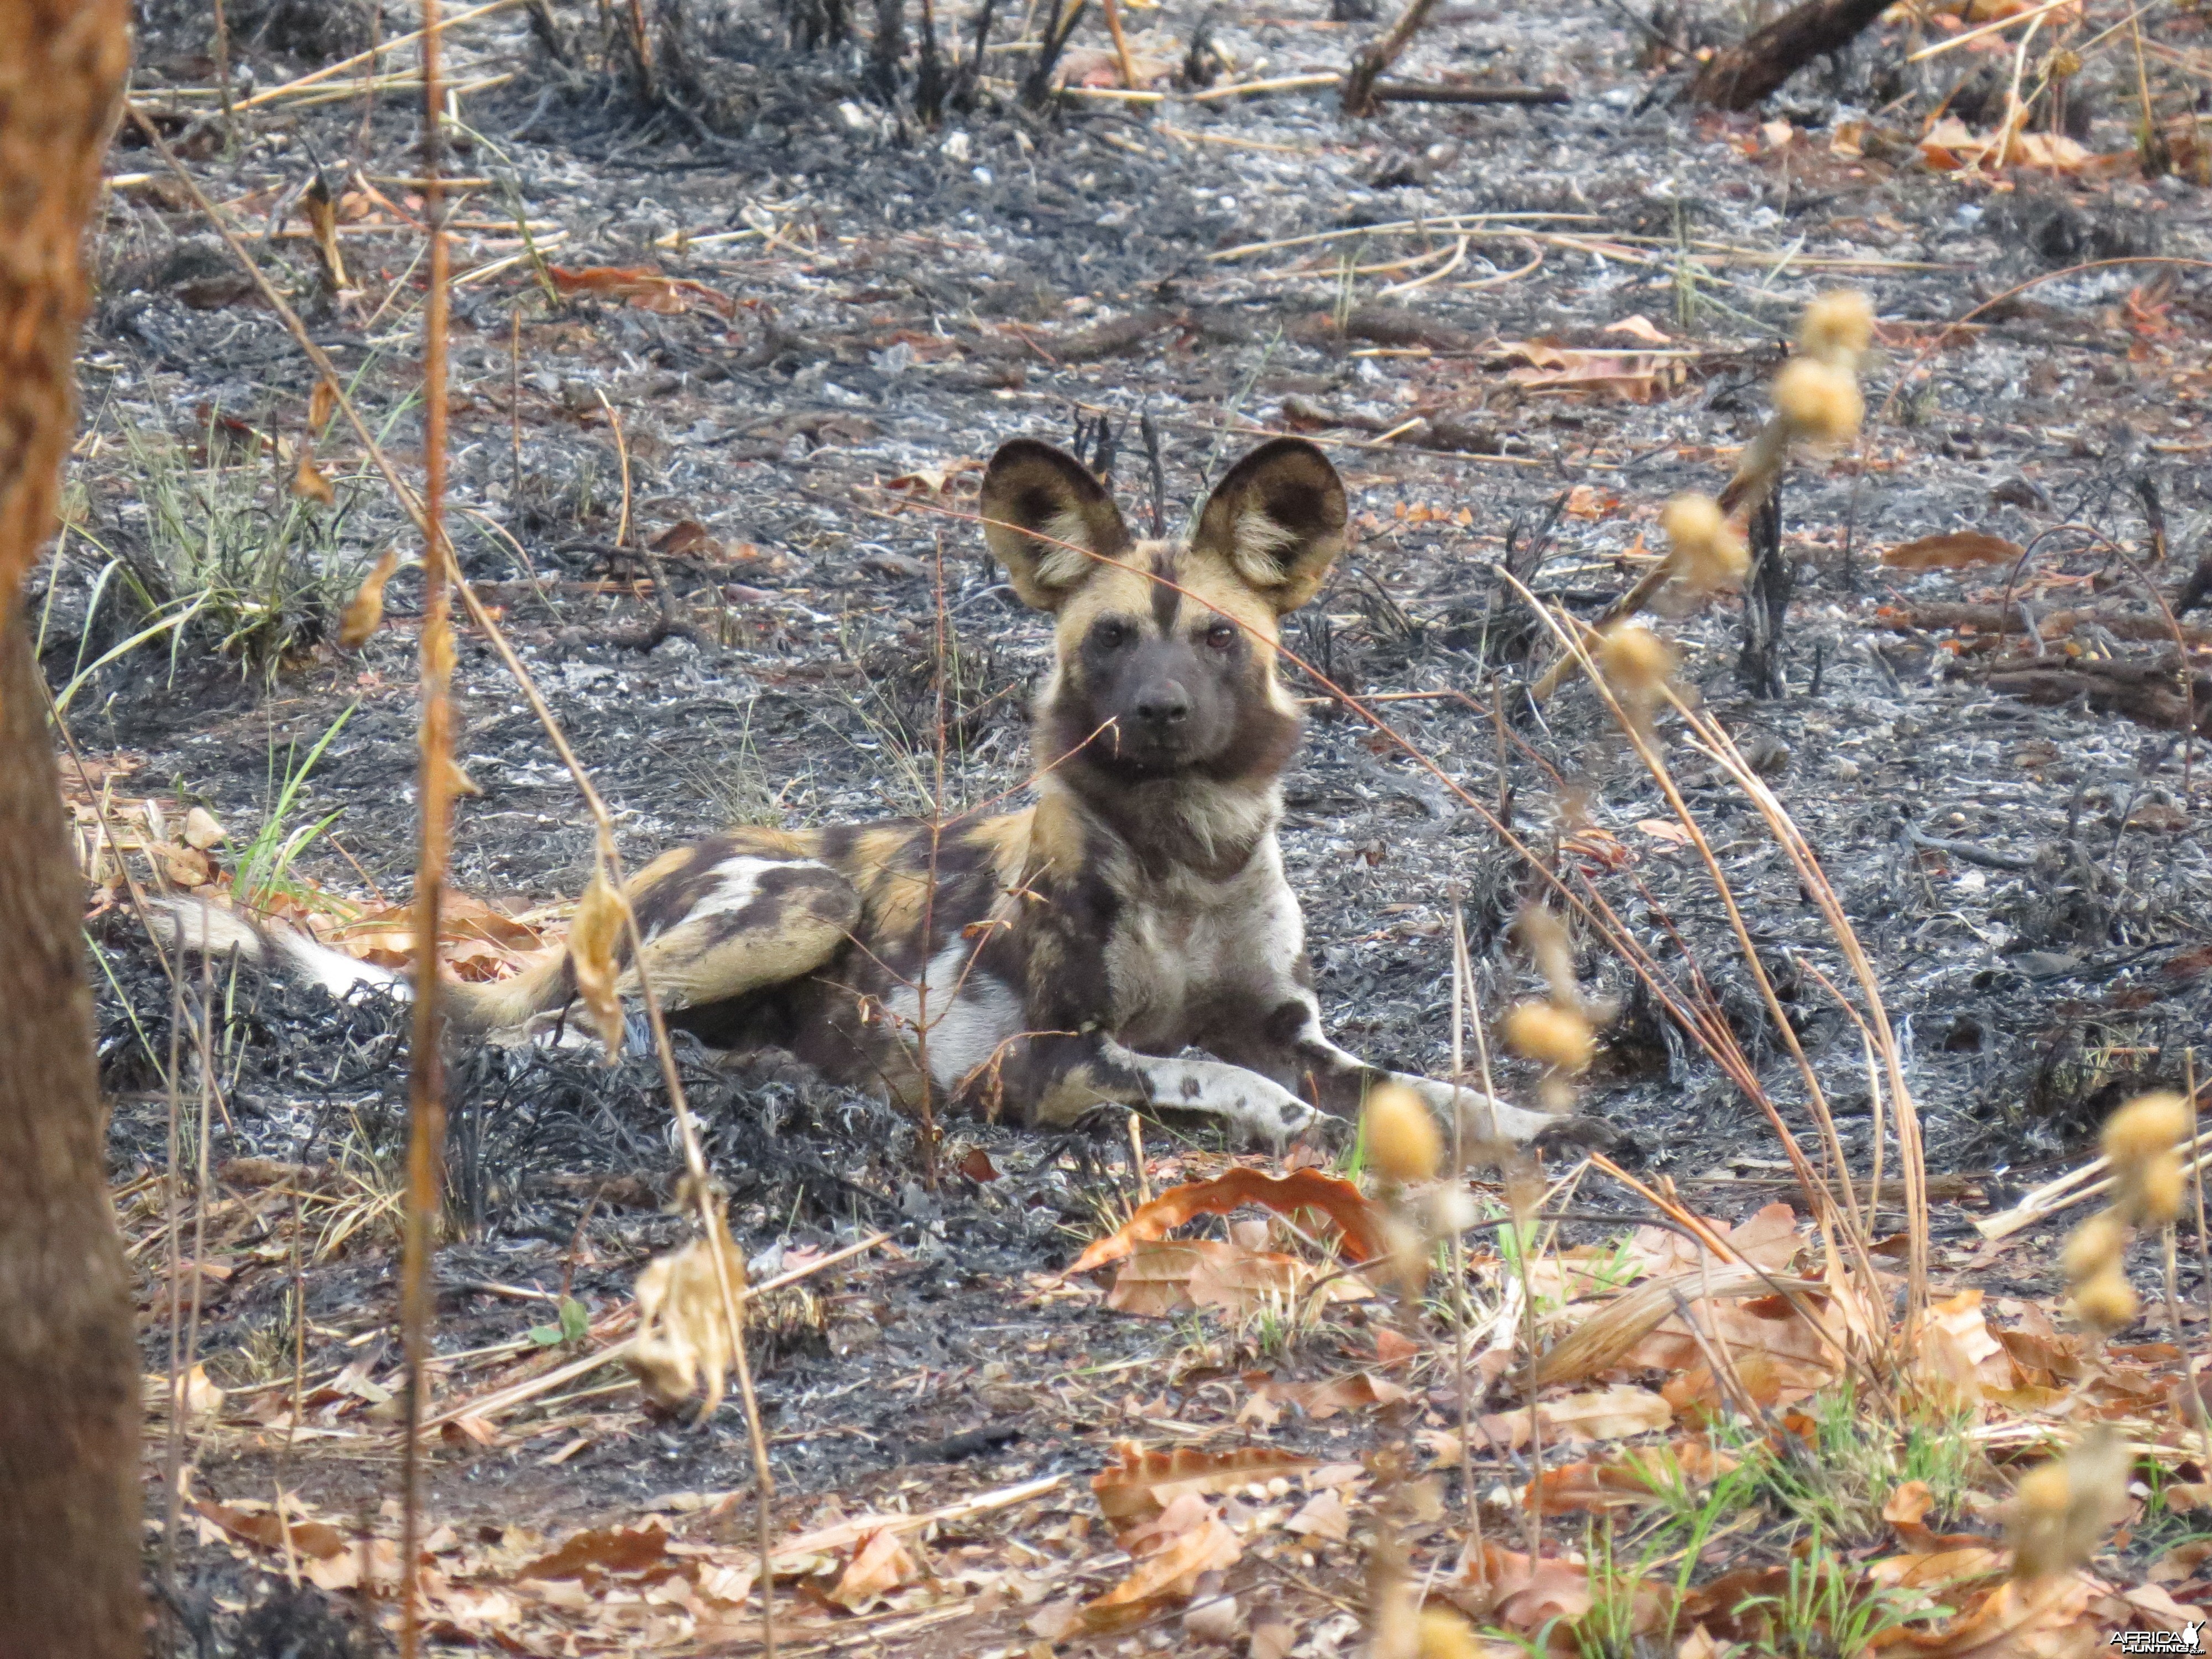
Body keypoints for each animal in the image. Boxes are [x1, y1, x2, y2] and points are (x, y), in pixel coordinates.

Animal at [181, 442, 1584, 1159]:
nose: (1156, 714)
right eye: (1112, 638)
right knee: (567, 1036)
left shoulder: (1295, 1029)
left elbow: (1413, 1087)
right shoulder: (1041, 1061)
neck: (1185, 856)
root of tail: (632, 874)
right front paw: (1283, 1119)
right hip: (795, 899)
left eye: (1219, 641)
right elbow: (1212, 1074)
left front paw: (1519, 1119)